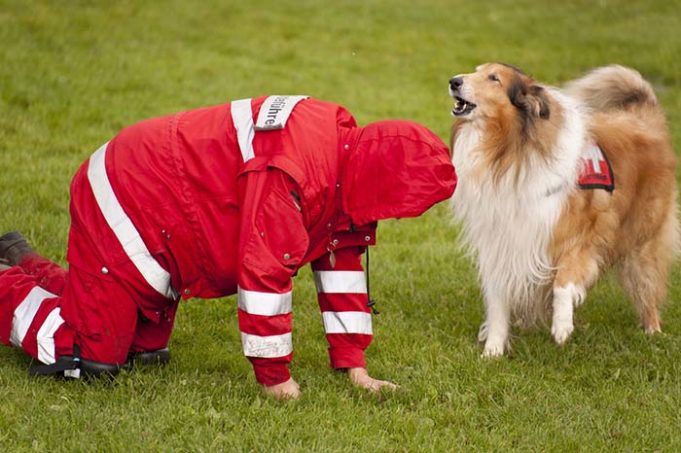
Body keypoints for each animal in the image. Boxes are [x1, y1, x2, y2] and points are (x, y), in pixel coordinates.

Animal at [448, 61, 676, 354]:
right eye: (476, 71)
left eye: (494, 78)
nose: (454, 81)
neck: (509, 150)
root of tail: (645, 118)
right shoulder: (500, 240)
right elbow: (498, 300)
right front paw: (492, 351)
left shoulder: (580, 235)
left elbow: (563, 283)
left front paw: (562, 326)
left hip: (642, 241)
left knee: (648, 286)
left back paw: (652, 331)